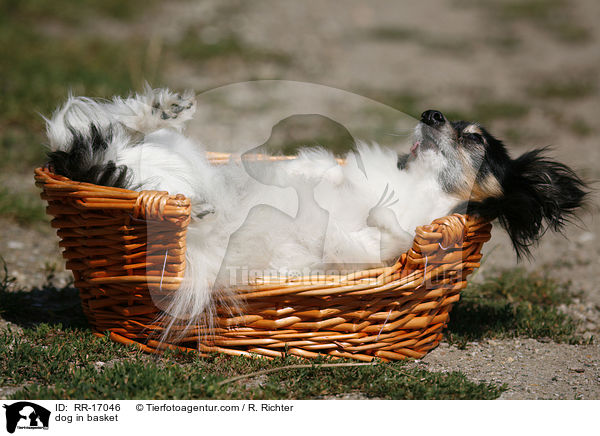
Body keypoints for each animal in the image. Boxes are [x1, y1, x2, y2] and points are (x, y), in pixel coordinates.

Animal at [44, 87, 588, 328]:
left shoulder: (370, 250)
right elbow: (322, 176)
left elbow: (384, 236)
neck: (415, 185)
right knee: (96, 133)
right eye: (446, 121)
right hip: (162, 157)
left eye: (473, 138)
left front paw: (380, 220)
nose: (430, 113)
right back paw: (163, 116)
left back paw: (188, 203)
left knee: (93, 149)